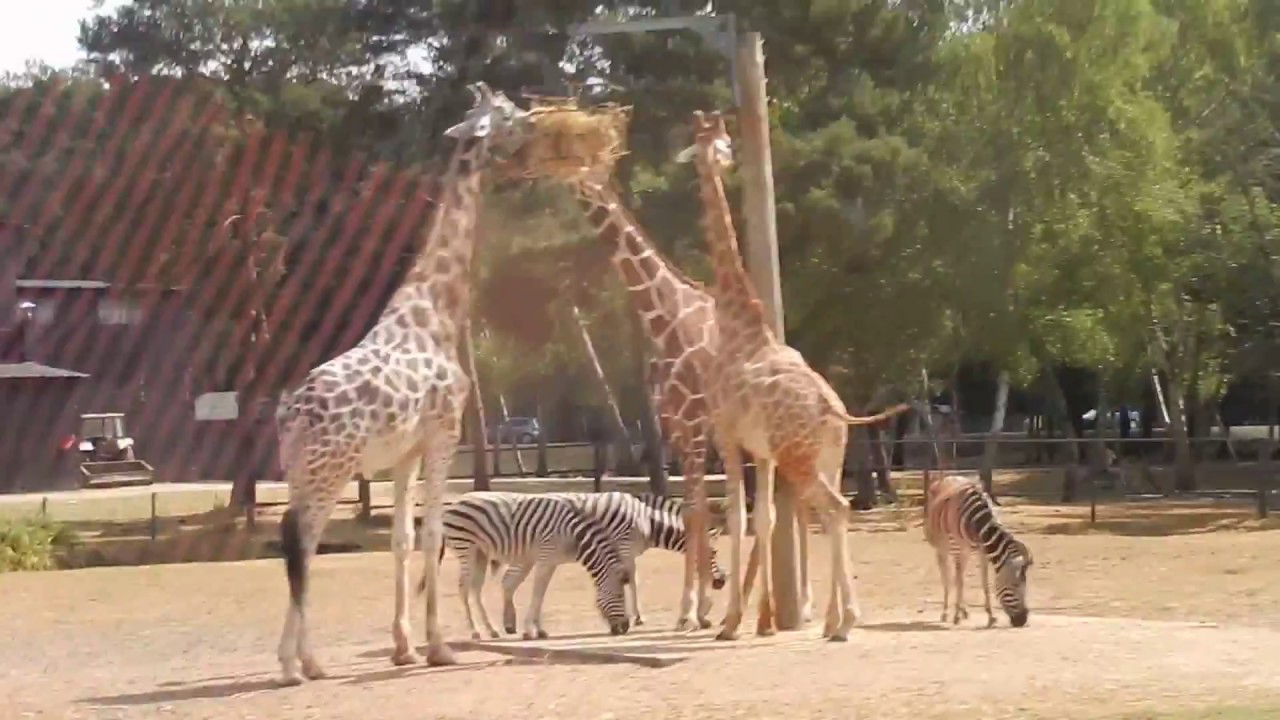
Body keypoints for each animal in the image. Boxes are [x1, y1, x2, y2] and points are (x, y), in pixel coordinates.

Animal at [270, 81, 529, 681]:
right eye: (506, 112)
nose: (533, 122)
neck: (434, 309)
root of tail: (293, 414)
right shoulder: (443, 435)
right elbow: (433, 536)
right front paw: (439, 647)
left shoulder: (405, 453)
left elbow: (402, 540)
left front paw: (403, 645)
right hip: (330, 471)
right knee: (305, 544)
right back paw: (299, 663)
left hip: (298, 473)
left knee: (297, 545)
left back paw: (301, 660)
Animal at [432, 486, 632, 638]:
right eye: (619, 595)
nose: (625, 628)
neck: (573, 535)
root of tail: (455, 502)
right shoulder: (544, 559)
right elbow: (536, 595)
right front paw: (529, 631)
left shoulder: (552, 563)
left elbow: (541, 595)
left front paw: (540, 630)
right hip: (465, 548)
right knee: (463, 588)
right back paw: (475, 632)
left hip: (480, 553)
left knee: (475, 588)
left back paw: (491, 630)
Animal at [509, 486, 727, 627]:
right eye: (714, 552)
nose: (722, 582)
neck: (646, 520)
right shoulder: (623, 548)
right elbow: (632, 580)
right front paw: (636, 616)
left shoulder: (629, 553)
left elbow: (632, 580)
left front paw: (636, 616)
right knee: (510, 581)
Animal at [680, 109, 911, 635]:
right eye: (719, 143)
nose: (725, 162)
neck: (739, 325)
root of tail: (832, 408)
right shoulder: (763, 453)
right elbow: (765, 517)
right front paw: (762, 619)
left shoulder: (729, 436)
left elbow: (739, 518)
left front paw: (733, 622)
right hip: (825, 457)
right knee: (833, 512)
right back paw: (834, 621)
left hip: (800, 459)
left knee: (836, 508)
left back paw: (843, 622)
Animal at [926, 474, 1034, 625]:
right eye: (1014, 585)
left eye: (1025, 585)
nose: (1022, 621)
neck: (978, 522)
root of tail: (949, 477)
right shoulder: (957, 548)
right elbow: (959, 582)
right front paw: (956, 615)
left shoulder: (983, 552)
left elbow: (984, 583)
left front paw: (990, 615)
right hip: (943, 548)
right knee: (947, 577)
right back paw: (946, 612)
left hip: (965, 553)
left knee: (957, 576)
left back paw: (963, 610)